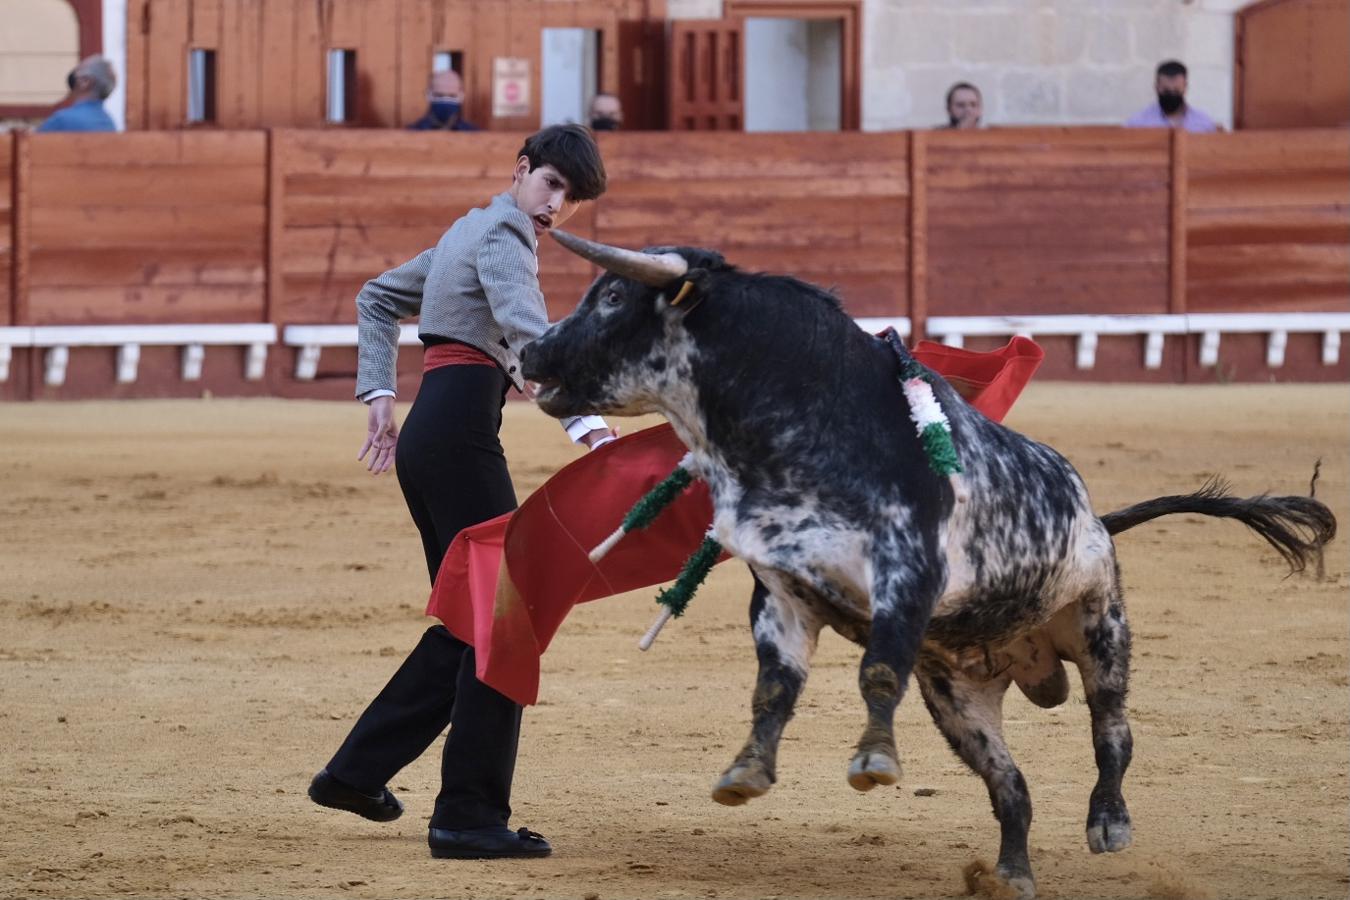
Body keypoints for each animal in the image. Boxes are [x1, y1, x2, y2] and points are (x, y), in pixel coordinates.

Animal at [521, 234, 1333, 900]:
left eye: (613, 296)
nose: (529, 355)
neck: (791, 427)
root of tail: (1098, 519)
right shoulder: (781, 593)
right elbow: (773, 690)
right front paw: (745, 774)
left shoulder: (905, 573)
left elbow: (877, 671)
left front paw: (874, 761)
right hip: (957, 700)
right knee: (1010, 786)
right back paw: (1010, 874)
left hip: (1102, 628)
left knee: (1113, 731)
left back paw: (1108, 824)